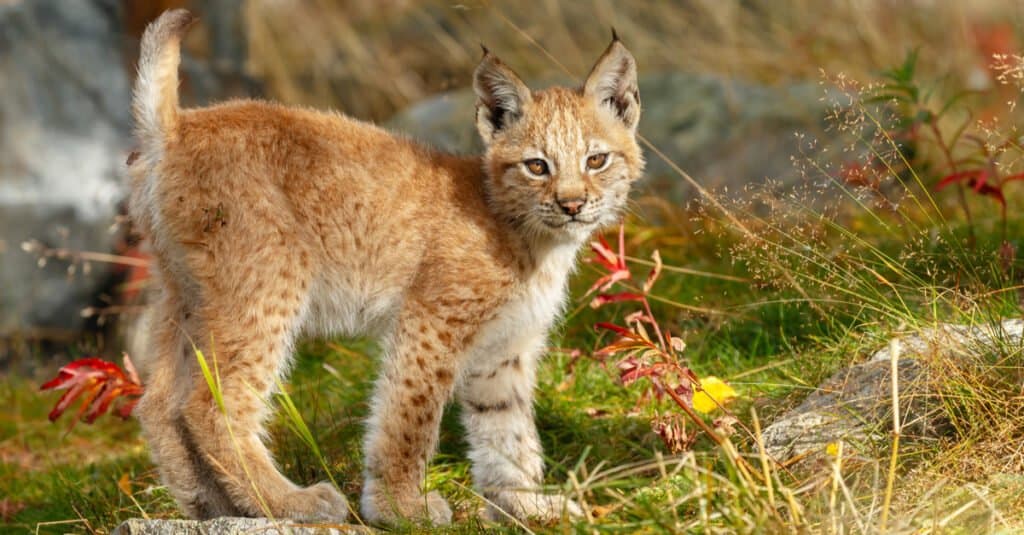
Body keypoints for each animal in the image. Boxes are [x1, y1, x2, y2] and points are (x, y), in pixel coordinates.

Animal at [125, 8, 638, 524]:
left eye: (596, 160)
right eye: (537, 166)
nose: (572, 205)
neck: (538, 240)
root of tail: (178, 126)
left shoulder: (505, 345)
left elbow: (507, 430)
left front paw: (524, 503)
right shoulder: (431, 320)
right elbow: (409, 414)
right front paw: (400, 507)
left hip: (186, 290)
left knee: (159, 403)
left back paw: (212, 506)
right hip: (269, 279)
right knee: (209, 403)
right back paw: (287, 502)